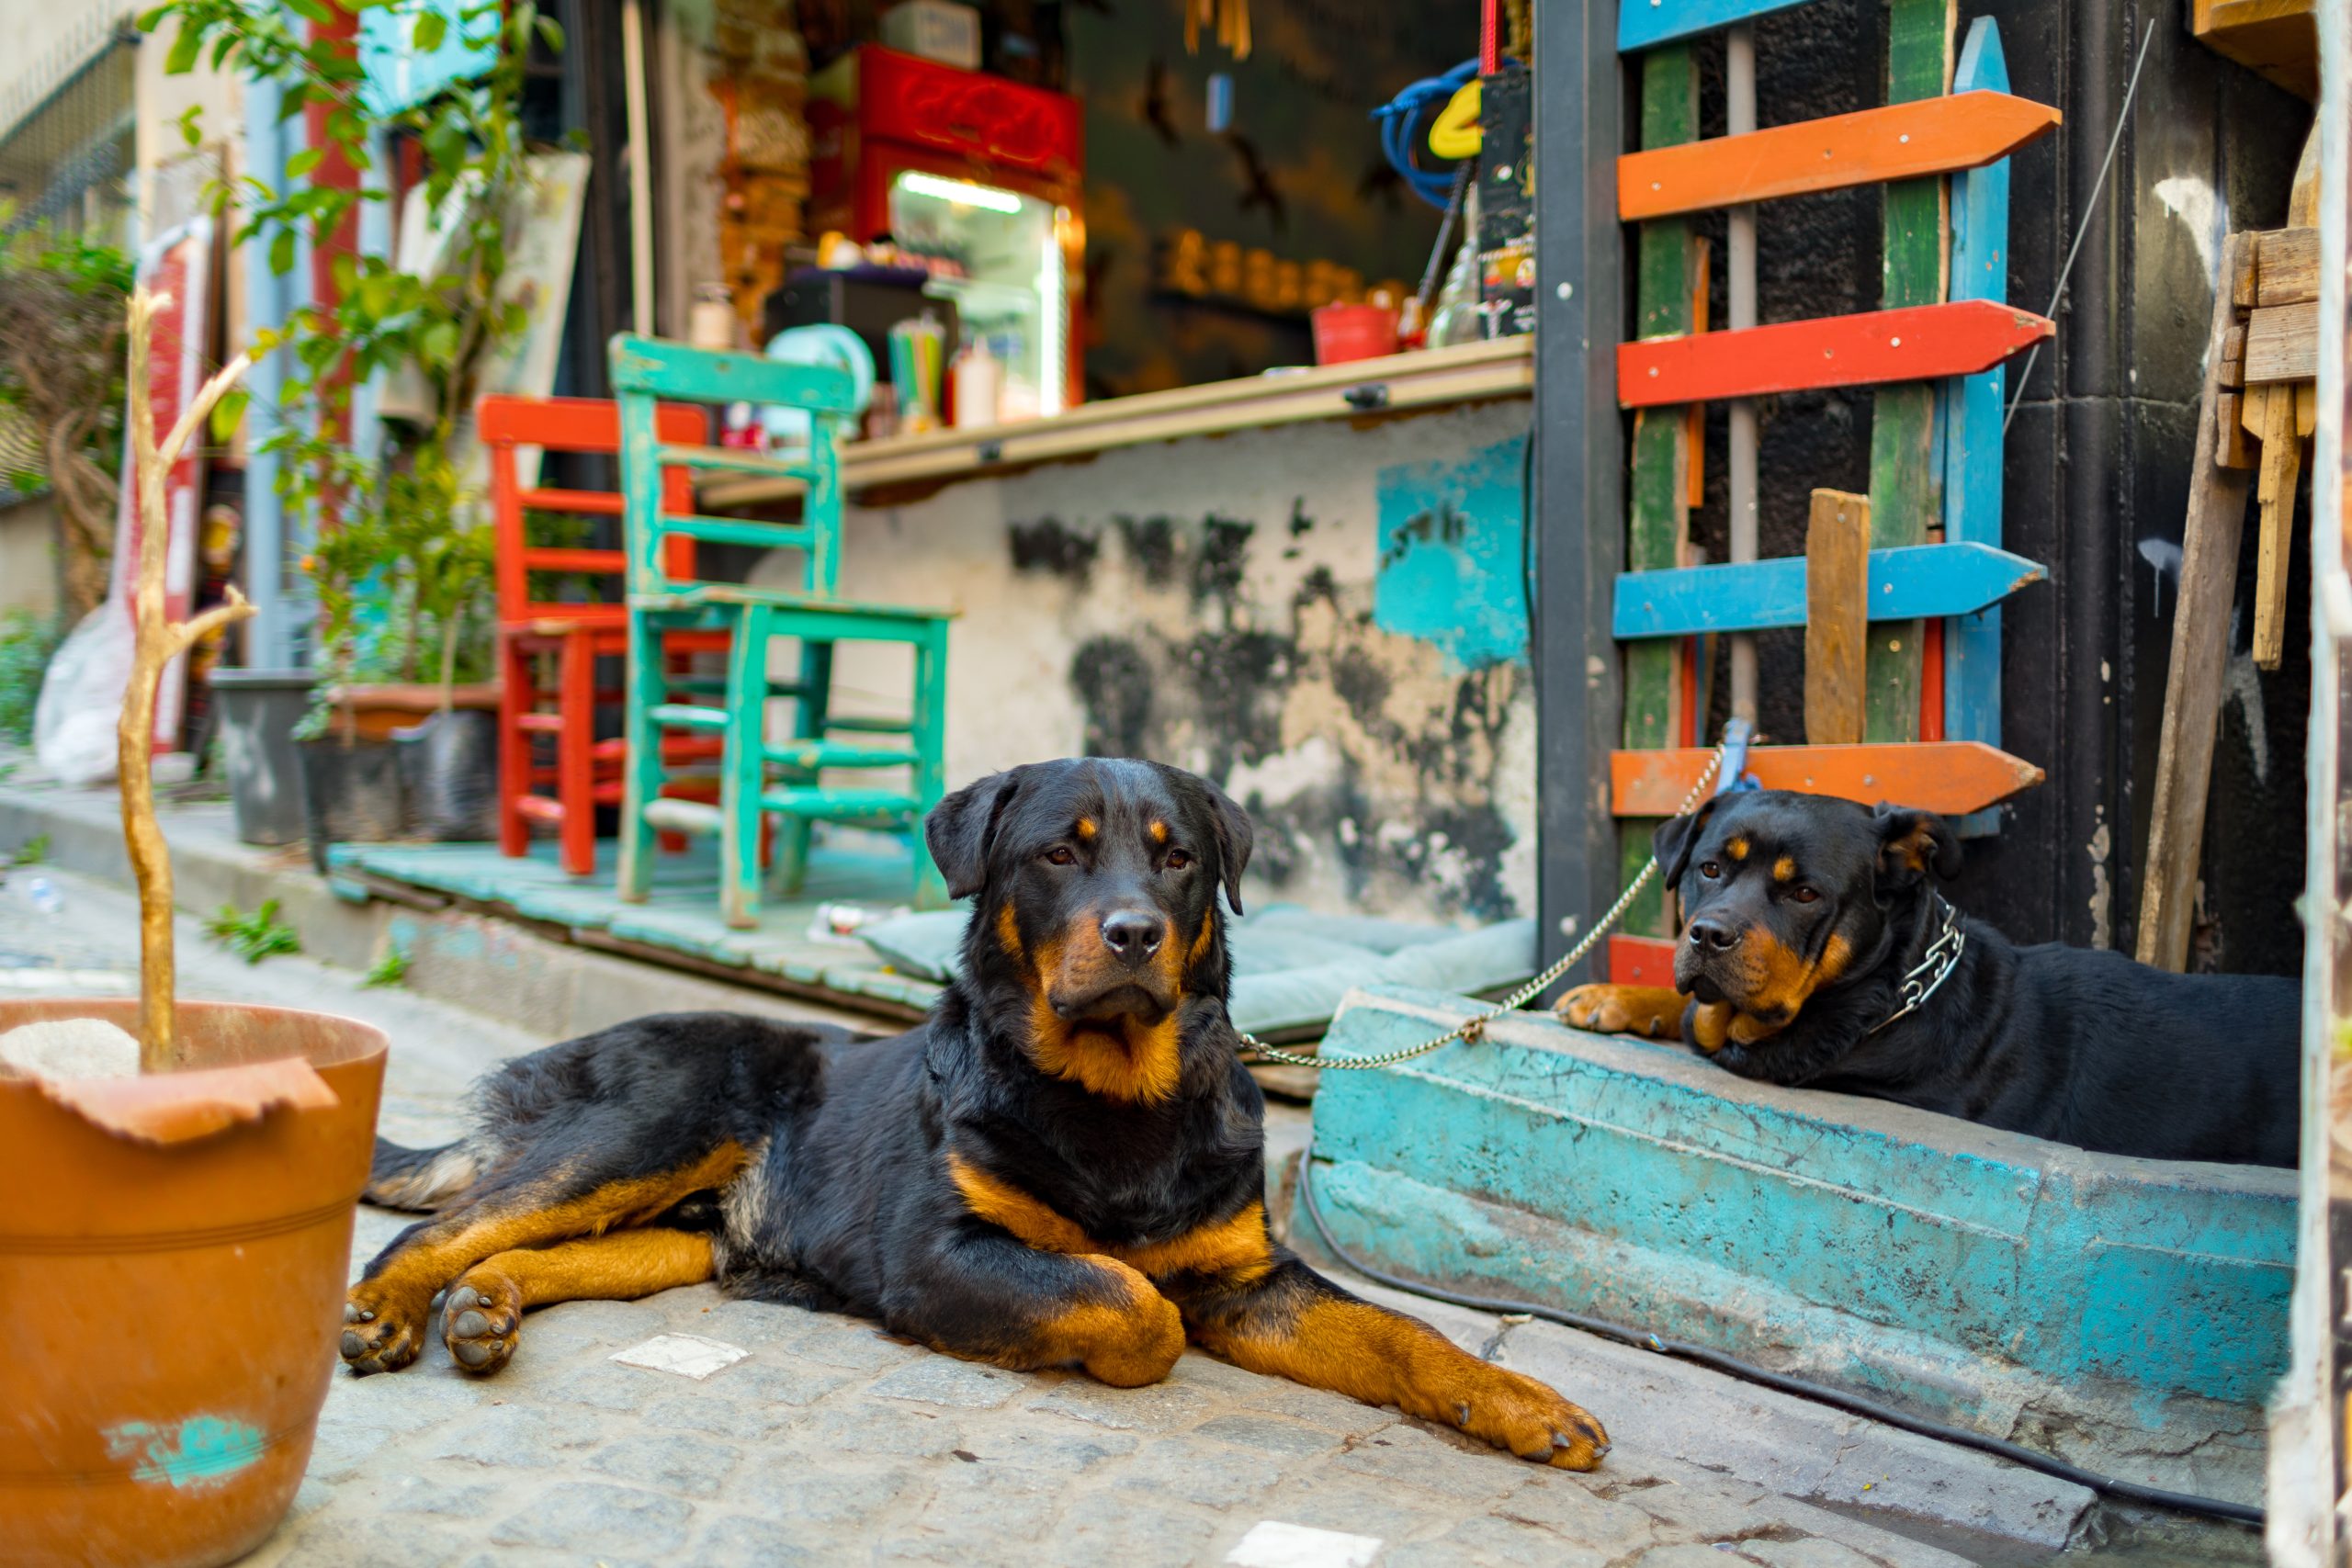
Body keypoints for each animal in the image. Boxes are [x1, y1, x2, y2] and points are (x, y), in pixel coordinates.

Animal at [345, 758, 1609, 1470]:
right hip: (647, 1129)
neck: (1115, 1095)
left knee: (530, 1246)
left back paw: (487, 1308)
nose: (1135, 934)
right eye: (1059, 854)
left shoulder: (1248, 1278)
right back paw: (392, 1310)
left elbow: (1403, 1335)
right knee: (446, 1223)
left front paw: (1523, 1403)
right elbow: (1132, 1299)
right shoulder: (940, 1251)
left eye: (1179, 861)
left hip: (680, 1230)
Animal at [1555, 790, 2299, 1167]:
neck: (1893, 990)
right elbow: (1687, 1013)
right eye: (1710, 868)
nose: (1709, 935)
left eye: (1804, 894)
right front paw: (1613, 995)